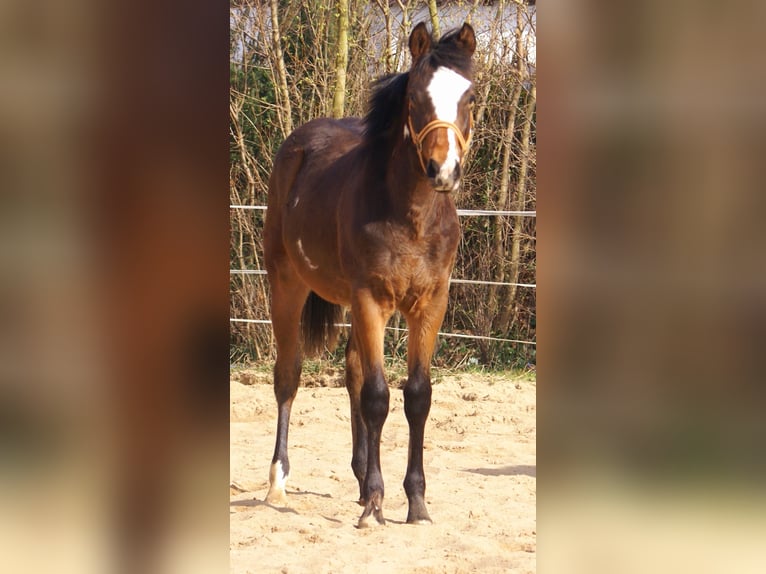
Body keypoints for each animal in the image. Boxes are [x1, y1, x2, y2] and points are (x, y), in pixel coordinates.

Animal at [263, 22, 476, 528]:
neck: (412, 216)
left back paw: (360, 481)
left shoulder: (430, 303)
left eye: (471, 96)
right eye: (416, 96)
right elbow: (378, 396)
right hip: (286, 283)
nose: (444, 171)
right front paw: (377, 504)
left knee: (352, 372)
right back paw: (278, 481)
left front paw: (415, 503)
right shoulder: (371, 300)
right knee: (288, 375)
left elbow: (417, 396)